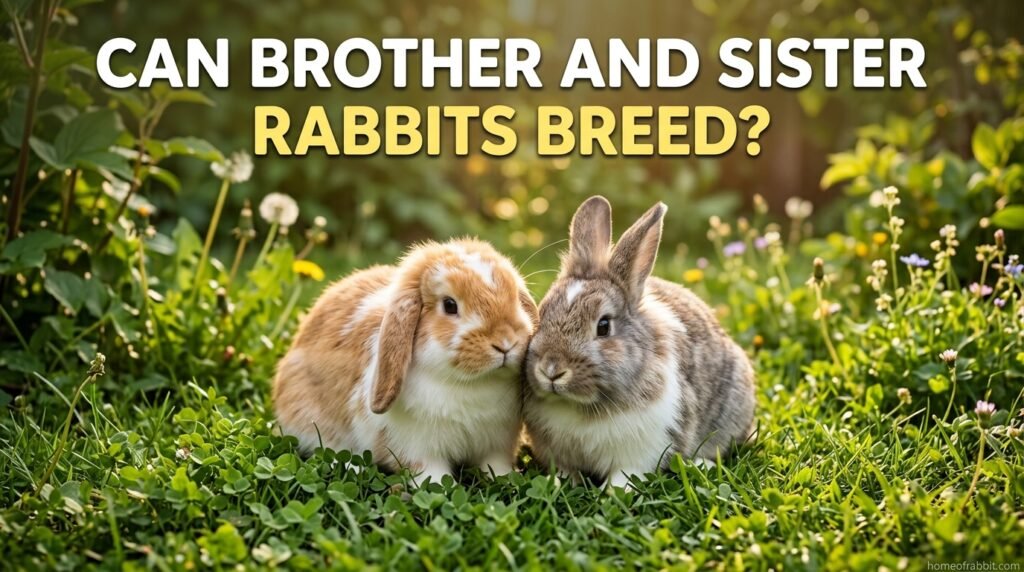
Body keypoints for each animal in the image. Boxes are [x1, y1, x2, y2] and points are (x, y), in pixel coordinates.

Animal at [273, 238, 538, 484]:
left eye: (516, 299)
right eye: (449, 305)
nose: (505, 342)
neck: (472, 384)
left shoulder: (498, 442)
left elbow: (495, 464)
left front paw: (506, 479)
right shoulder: (417, 446)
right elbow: (431, 474)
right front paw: (442, 487)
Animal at [522, 196, 756, 488]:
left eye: (603, 326)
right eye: (541, 313)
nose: (551, 370)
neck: (580, 405)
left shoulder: (639, 453)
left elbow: (623, 477)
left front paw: (612, 492)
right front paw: (559, 483)